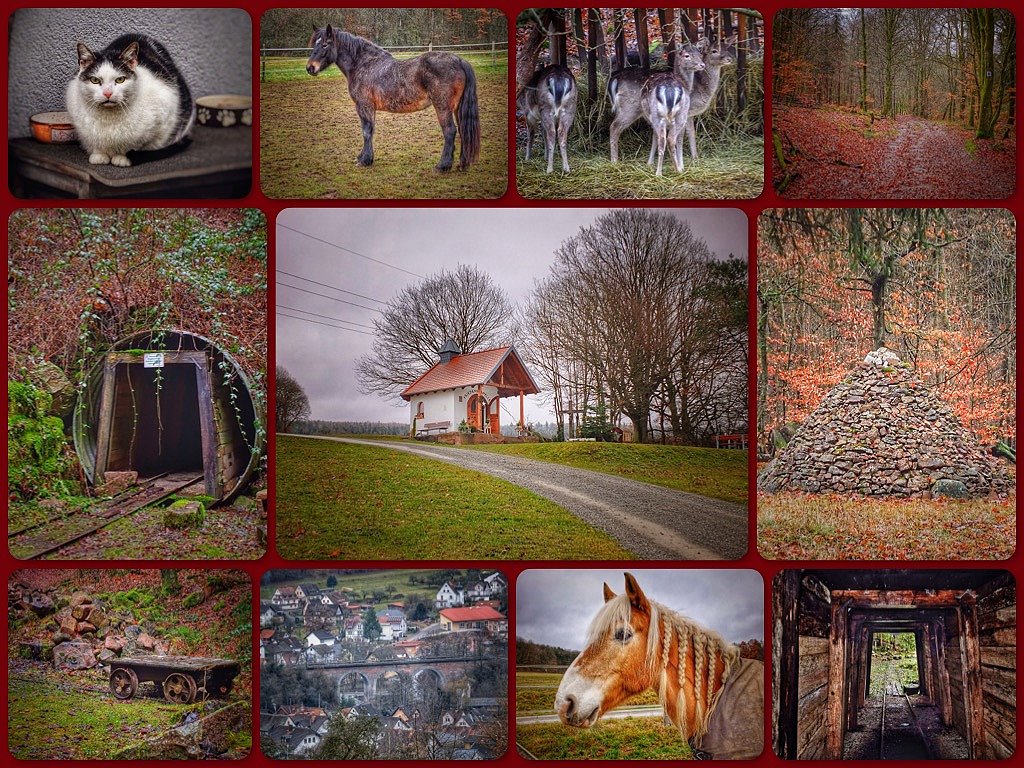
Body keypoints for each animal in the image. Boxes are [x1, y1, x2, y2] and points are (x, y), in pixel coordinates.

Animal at [65, 34, 193, 166]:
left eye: (120, 80)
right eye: (94, 80)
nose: (108, 93)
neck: (109, 120)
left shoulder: (164, 115)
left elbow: (136, 144)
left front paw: (122, 158)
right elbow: (94, 142)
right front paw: (99, 155)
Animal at [305, 25, 481, 174]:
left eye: (325, 45)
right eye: (315, 44)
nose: (310, 68)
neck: (364, 65)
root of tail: (459, 60)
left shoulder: (364, 106)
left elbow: (366, 131)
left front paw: (364, 160)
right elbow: (369, 131)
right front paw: (364, 157)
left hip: (443, 107)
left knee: (450, 131)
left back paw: (442, 166)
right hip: (456, 108)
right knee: (462, 131)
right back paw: (462, 164)